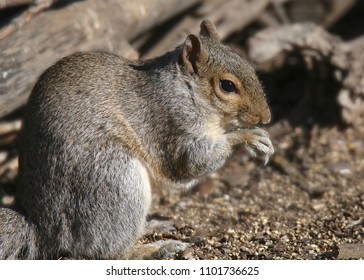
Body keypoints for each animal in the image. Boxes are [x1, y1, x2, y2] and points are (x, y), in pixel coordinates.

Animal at [0, 20, 272, 260]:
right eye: (227, 86)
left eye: (249, 66)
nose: (267, 117)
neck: (185, 90)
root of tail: (40, 226)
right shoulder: (169, 123)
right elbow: (189, 164)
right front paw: (248, 137)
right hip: (114, 180)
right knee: (107, 251)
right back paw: (155, 249)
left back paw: (151, 226)